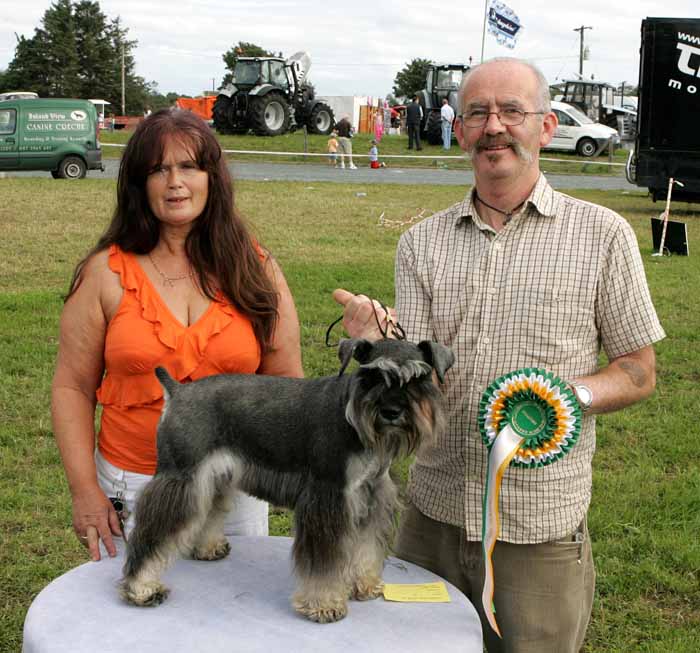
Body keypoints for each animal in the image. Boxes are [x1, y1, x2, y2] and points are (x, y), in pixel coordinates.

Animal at [119, 336, 454, 620]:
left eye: (419, 379)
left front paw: (365, 583)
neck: (353, 418)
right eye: (371, 377)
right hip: (181, 478)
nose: (391, 411)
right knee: (151, 533)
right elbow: (324, 562)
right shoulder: (328, 499)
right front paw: (325, 604)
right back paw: (142, 588)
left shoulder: (371, 496)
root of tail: (178, 391)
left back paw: (207, 548)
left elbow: (366, 547)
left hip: (214, 479)